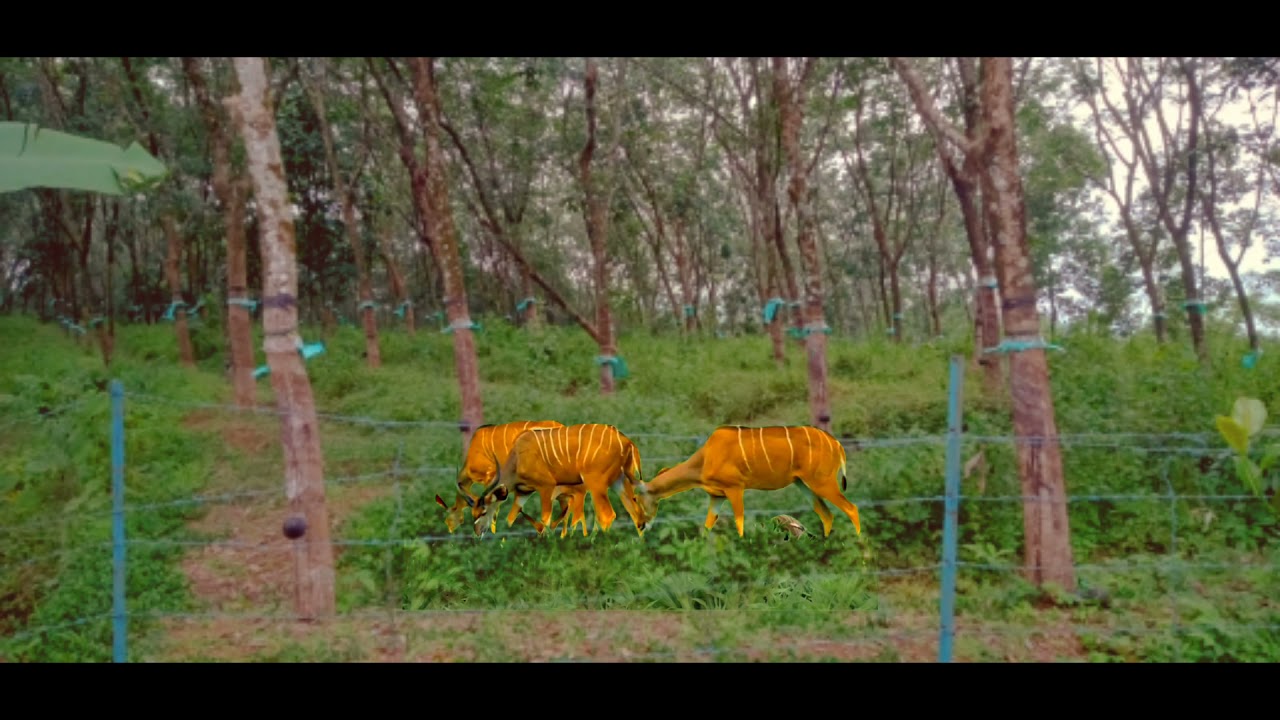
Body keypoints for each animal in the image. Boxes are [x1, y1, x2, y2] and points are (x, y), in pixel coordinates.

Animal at [471, 423, 648, 538]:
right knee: (636, 512)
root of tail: (627, 442)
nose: (478, 531)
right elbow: (511, 518)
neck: (517, 458)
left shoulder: (546, 486)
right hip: (619, 480)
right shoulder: (523, 492)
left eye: (484, 511)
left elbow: (545, 519)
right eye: (473, 513)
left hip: (596, 483)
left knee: (608, 515)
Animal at [633, 425, 862, 538]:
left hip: (821, 481)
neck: (705, 457)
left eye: (636, 499)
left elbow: (739, 524)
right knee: (826, 513)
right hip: (802, 483)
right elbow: (707, 527)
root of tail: (837, 445)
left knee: (851, 508)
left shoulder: (735, 488)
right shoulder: (717, 496)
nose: (642, 526)